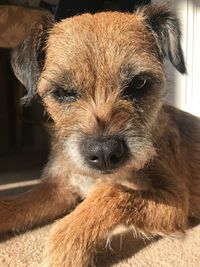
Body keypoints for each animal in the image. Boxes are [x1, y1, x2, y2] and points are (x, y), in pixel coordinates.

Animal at [0, 4, 200, 267]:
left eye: (139, 83)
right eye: (62, 92)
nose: (105, 153)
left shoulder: (175, 201)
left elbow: (111, 194)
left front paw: (64, 251)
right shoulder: (58, 190)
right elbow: (17, 204)